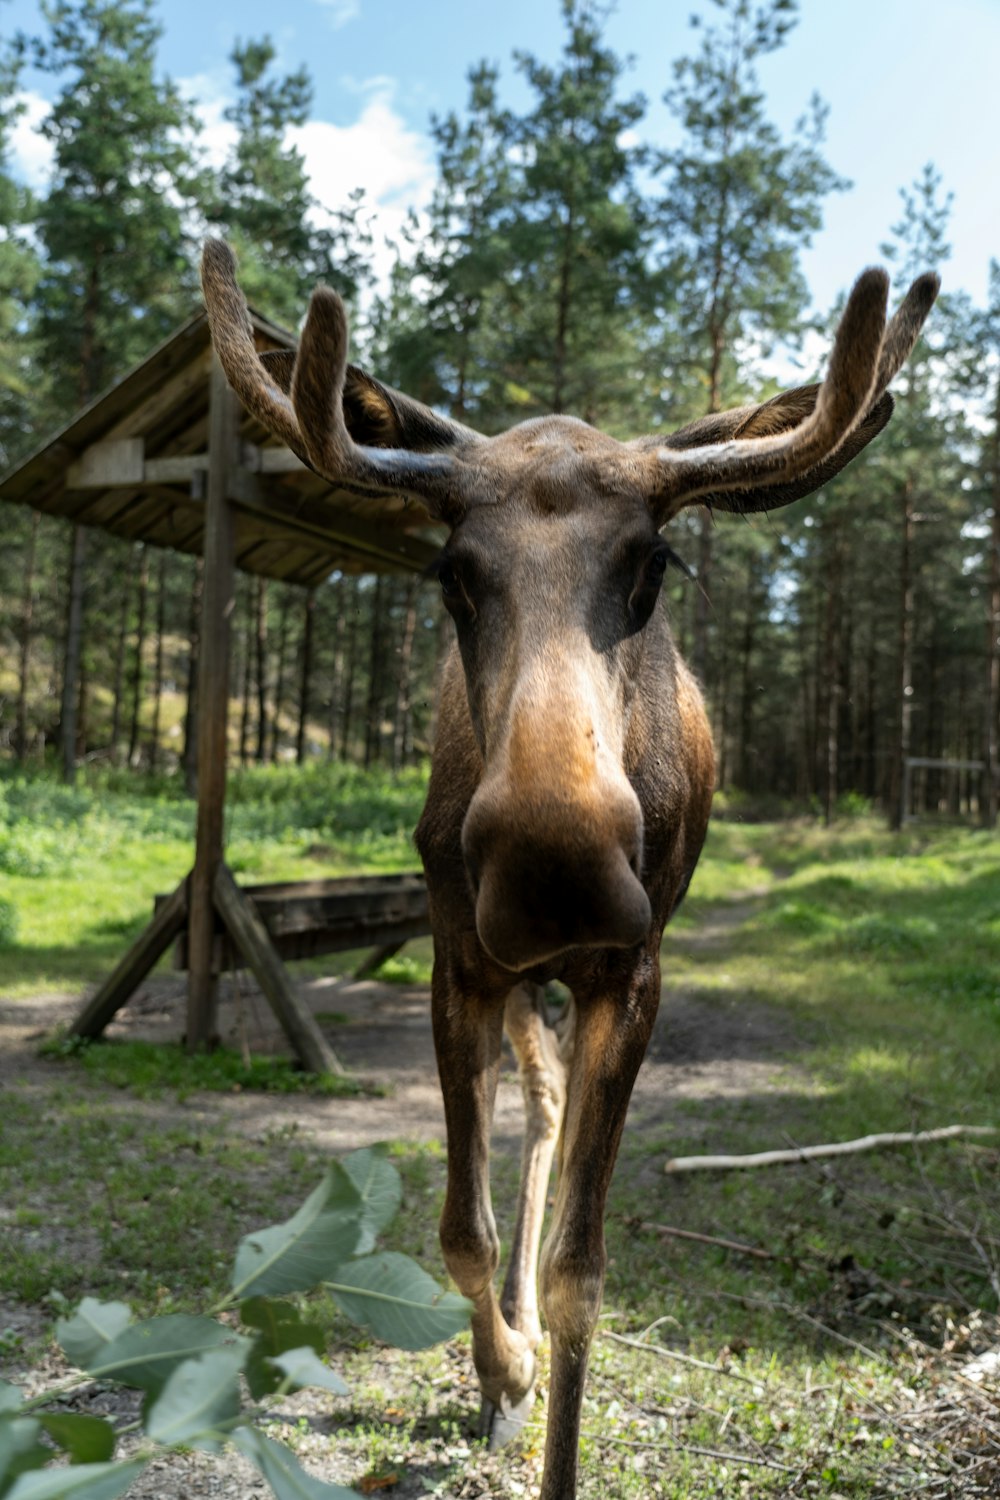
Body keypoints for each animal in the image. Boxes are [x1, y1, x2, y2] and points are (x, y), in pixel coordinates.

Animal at [200, 240, 941, 1494]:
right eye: (452, 572)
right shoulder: (460, 960)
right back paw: (506, 1363)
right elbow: (461, 1228)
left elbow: (580, 1274)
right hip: (511, 973)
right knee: (536, 1098)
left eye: (653, 564)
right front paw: (501, 1370)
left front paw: (544, 1388)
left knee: (551, 1110)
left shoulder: (630, 974)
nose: (557, 870)